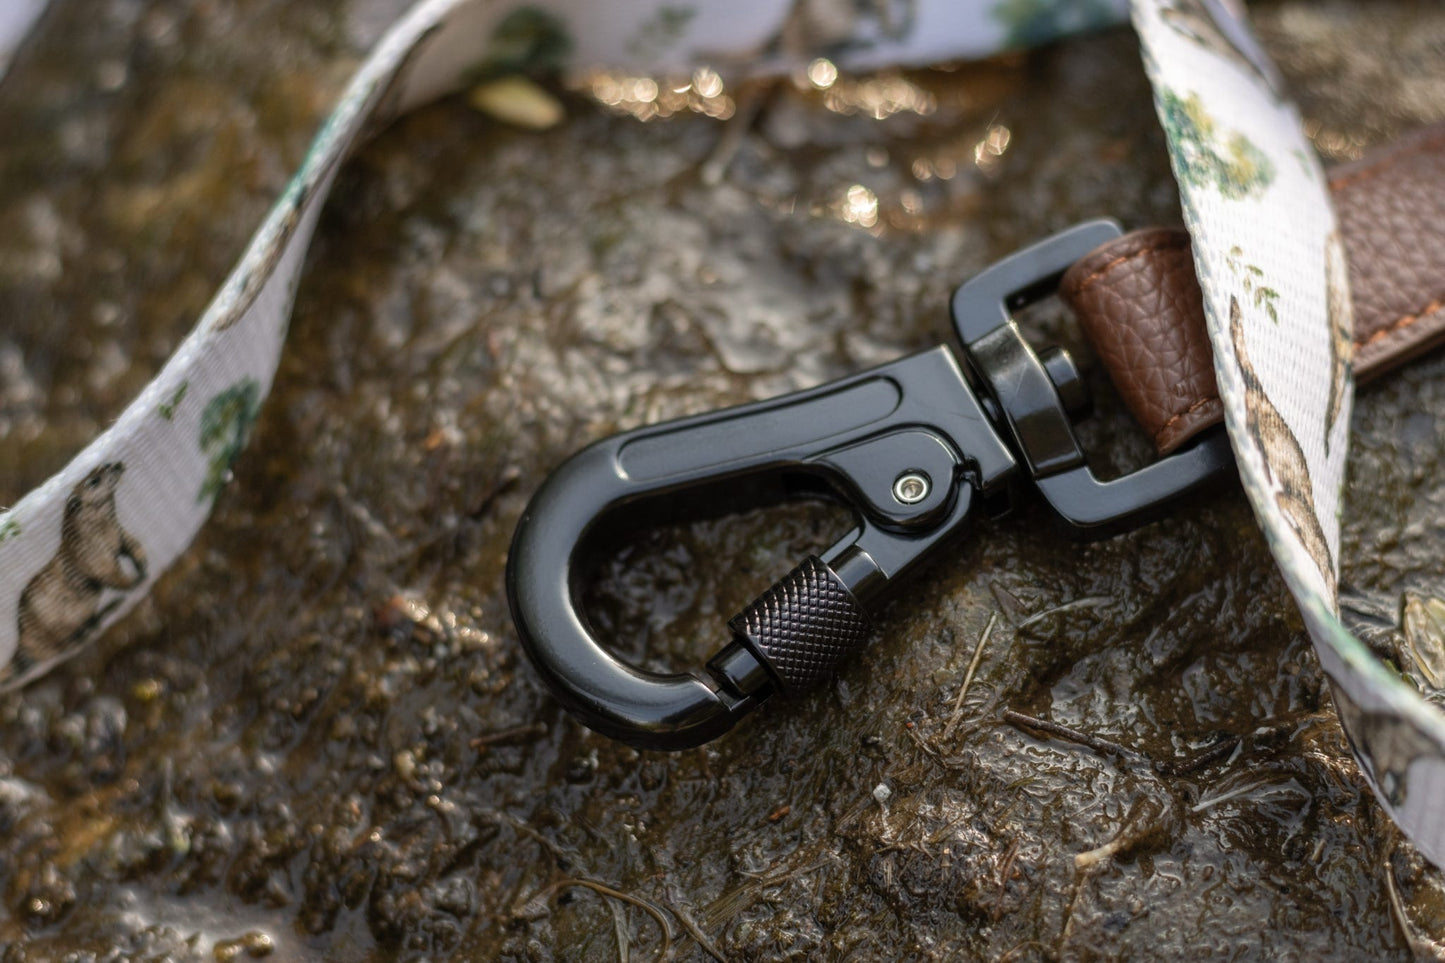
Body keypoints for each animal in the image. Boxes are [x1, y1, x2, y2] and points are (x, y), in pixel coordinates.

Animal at [7, 462, 147, 685]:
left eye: (106, 465)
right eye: (94, 481)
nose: (117, 464)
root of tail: (21, 640)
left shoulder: (120, 535)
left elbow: (133, 547)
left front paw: (143, 565)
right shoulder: (95, 557)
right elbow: (113, 575)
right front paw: (134, 581)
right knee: (58, 647)